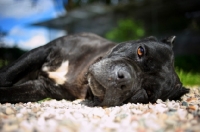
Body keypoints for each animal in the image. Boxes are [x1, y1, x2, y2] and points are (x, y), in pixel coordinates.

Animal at [0, 32, 189, 106]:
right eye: (140, 50)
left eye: (148, 92)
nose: (123, 77)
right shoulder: (44, 50)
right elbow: (8, 73)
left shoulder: (40, 87)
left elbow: (12, 93)